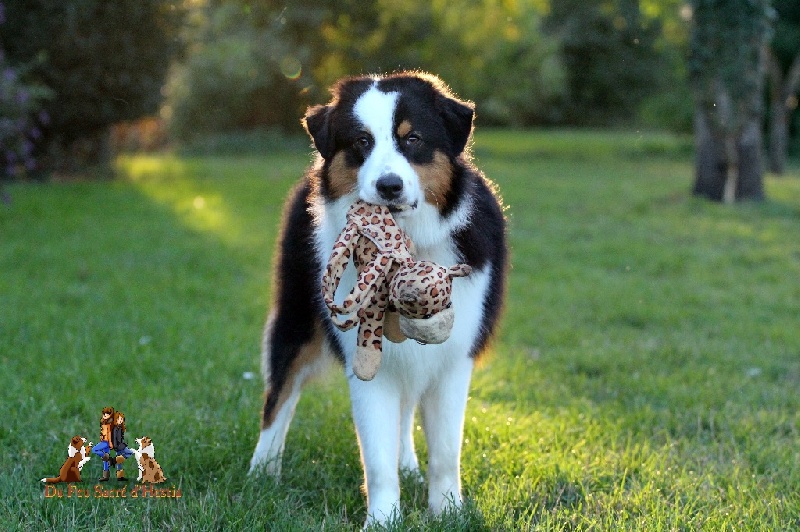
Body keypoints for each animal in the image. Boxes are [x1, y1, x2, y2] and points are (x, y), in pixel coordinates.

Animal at [250, 69, 506, 524]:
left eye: (413, 139)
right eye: (361, 142)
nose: (389, 186)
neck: (412, 243)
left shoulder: (453, 359)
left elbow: (445, 452)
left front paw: (448, 512)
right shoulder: (366, 362)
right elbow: (377, 457)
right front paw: (384, 520)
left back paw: (410, 466)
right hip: (296, 317)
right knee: (278, 395)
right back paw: (260, 473)